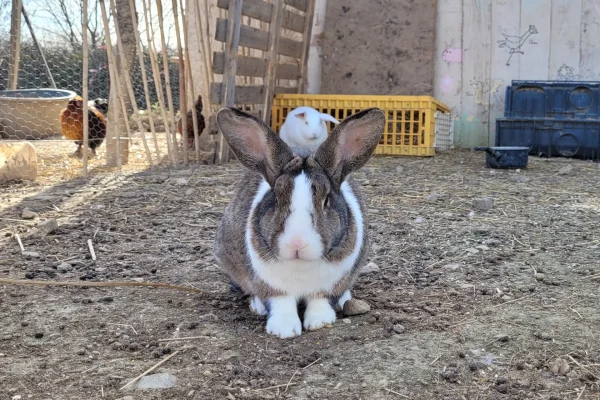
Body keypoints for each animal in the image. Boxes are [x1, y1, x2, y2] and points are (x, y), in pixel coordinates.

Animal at [214, 105, 384, 338]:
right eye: (277, 198)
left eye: (326, 200)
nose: (297, 244)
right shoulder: (272, 287)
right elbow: (281, 303)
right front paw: (283, 329)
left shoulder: (330, 286)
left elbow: (320, 300)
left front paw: (319, 321)